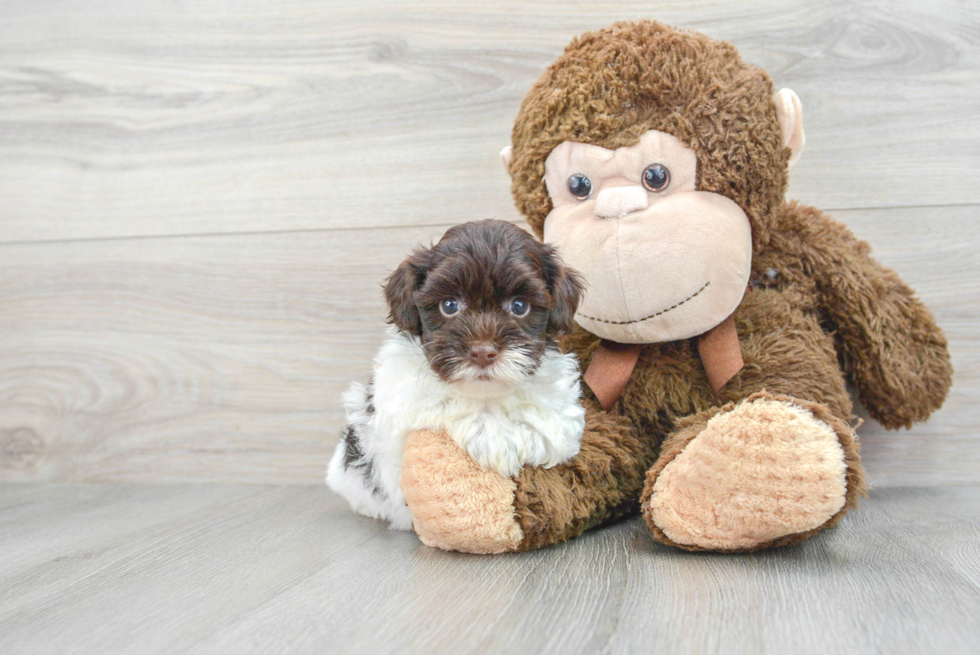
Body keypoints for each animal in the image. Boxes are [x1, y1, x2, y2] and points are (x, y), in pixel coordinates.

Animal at [330, 219, 588, 528]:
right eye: (449, 305)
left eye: (519, 306)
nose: (482, 352)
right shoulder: (399, 397)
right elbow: (443, 403)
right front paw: (491, 434)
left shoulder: (560, 407)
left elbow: (552, 427)